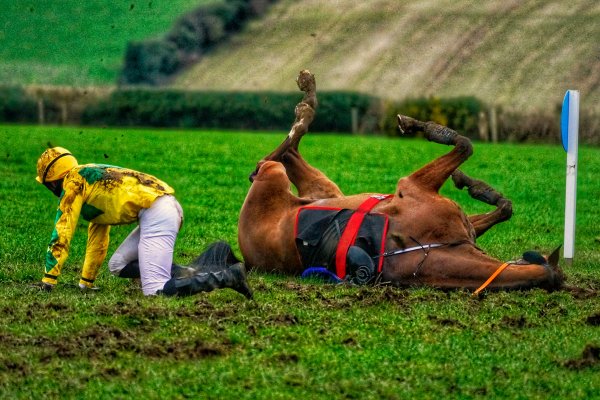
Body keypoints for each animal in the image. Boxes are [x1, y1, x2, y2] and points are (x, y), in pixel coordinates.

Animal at [238, 70, 564, 292]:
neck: (433, 248)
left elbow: (503, 205)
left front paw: (475, 186)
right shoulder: (412, 185)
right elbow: (465, 145)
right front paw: (430, 132)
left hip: (317, 186)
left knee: (285, 152)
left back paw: (306, 104)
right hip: (277, 174)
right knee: (279, 152)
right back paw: (306, 101)